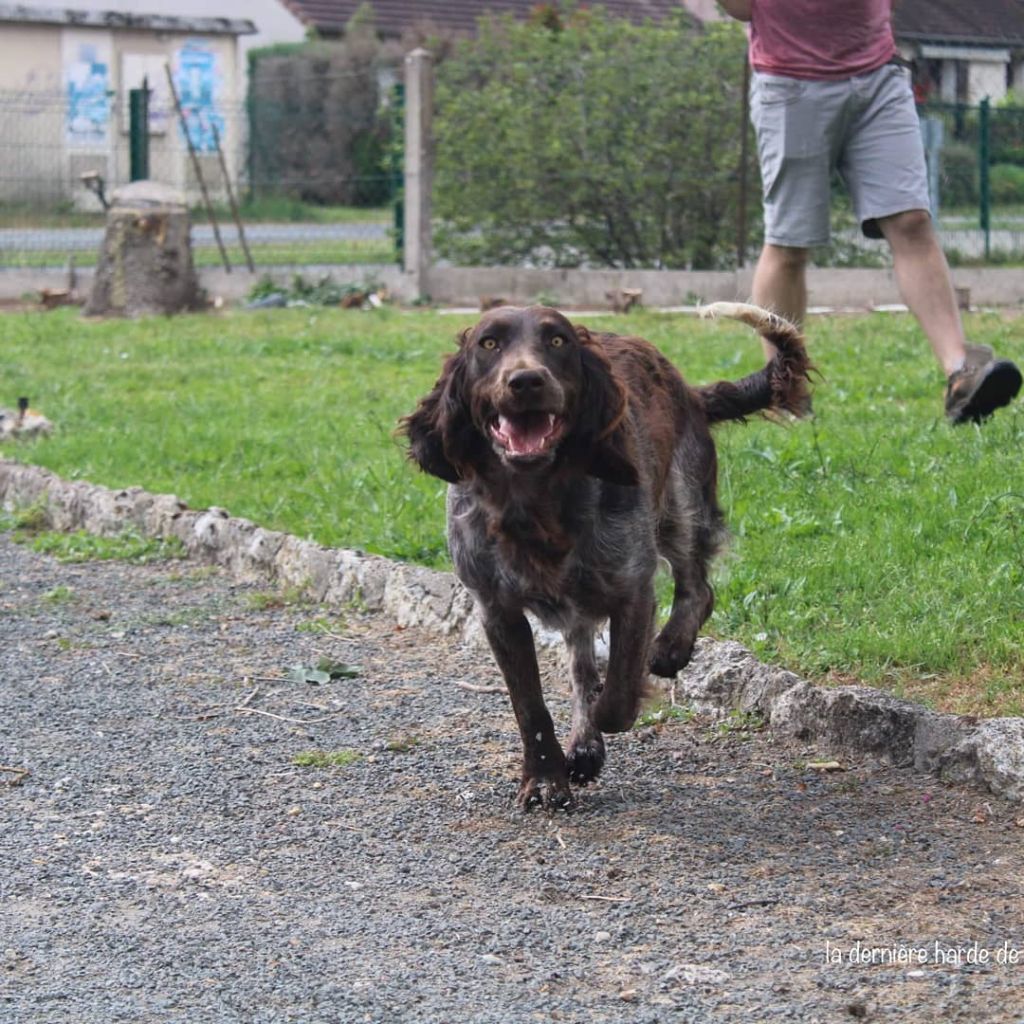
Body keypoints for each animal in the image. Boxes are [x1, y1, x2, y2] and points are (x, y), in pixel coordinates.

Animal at [399, 299, 806, 811]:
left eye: (557, 341)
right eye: (488, 344)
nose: (526, 381)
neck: (534, 503)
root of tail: (690, 390)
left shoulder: (632, 590)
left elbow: (619, 693)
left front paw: (606, 715)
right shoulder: (497, 611)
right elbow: (532, 706)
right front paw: (546, 778)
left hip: (680, 506)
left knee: (698, 587)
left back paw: (670, 648)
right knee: (581, 661)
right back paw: (584, 744)